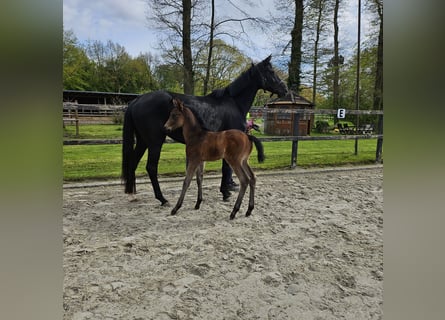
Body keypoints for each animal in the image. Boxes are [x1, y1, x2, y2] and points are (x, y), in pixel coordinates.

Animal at [121, 55, 288, 205]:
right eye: (271, 71)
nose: (285, 89)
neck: (233, 103)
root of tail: (137, 100)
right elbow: (226, 168)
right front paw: (225, 193)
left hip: (142, 141)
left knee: (133, 162)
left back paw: (132, 194)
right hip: (155, 142)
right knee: (151, 167)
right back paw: (162, 199)